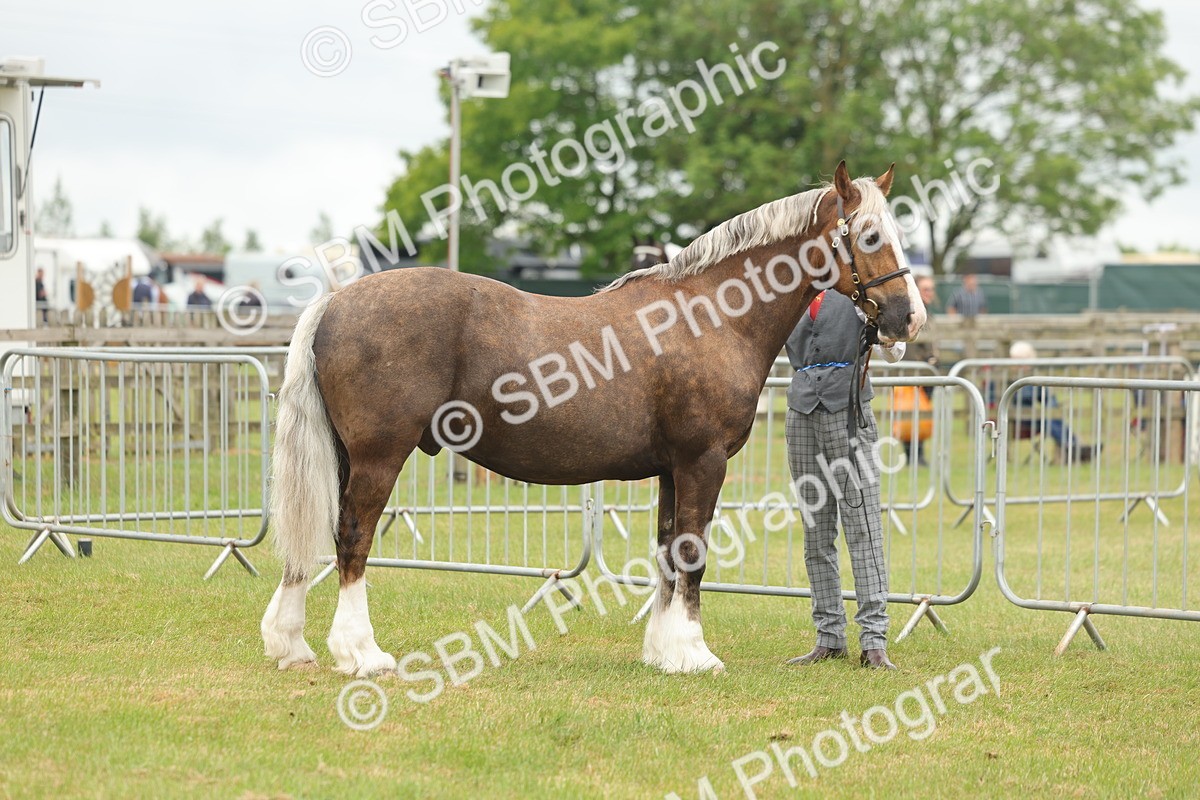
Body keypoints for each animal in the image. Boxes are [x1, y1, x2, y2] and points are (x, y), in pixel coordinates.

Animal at [260, 161, 925, 676]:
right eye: (869, 235)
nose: (908, 318)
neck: (710, 315)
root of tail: (335, 301)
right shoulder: (703, 462)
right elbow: (693, 552)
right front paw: (696, 653)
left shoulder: (672, 468)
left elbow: (667, 549)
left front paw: (664, 652)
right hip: (379, 456)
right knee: (353, 537)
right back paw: (361, 654)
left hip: (343, 455)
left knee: (317, 537)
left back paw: (292, 644)